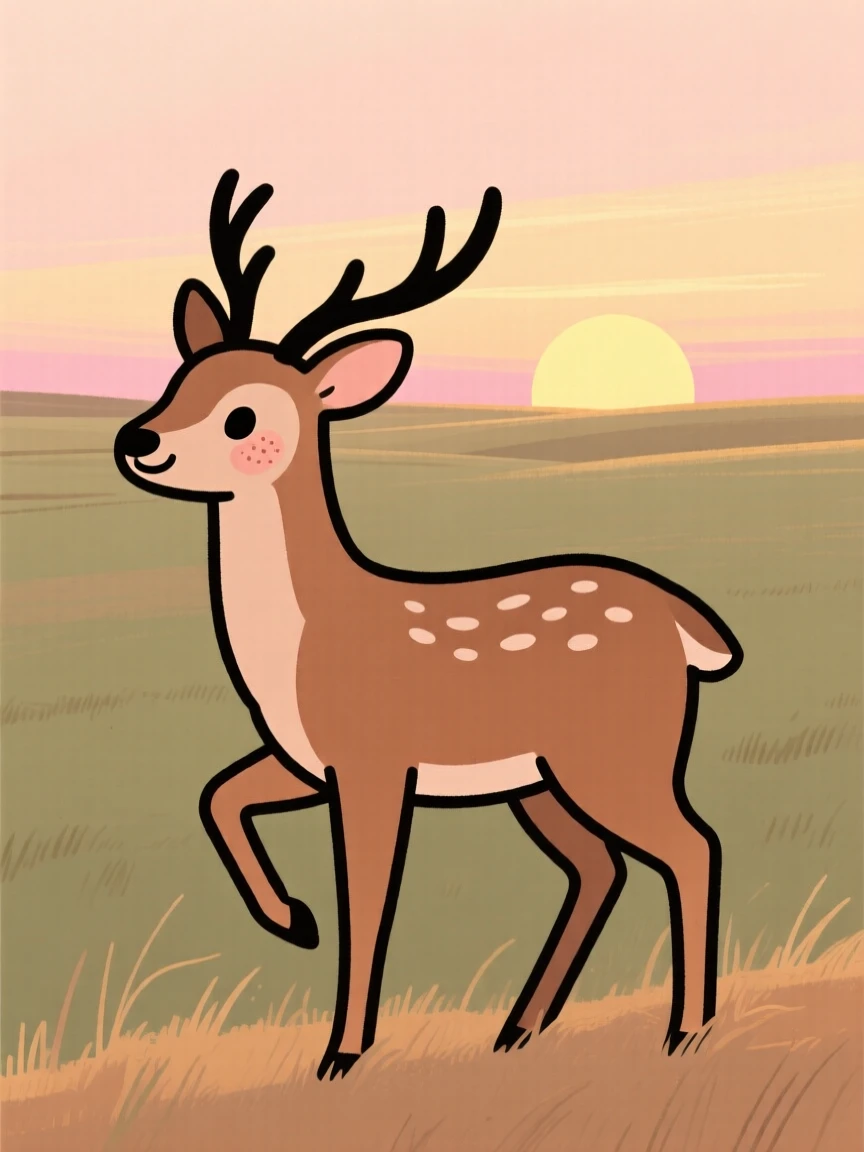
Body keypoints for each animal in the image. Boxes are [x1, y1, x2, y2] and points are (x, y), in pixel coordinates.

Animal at [114, 170, 743, 1080]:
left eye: (243, 416)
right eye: (181, 376)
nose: (138, 440)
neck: (304, 641)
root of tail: (693, 626)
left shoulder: (374, 760)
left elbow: (370, 900)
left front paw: (342, 1053)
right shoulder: (303, 757)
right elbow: (218, 796)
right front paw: (291, 920)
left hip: (618, 753)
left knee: (692, 846)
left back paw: (683, 1032)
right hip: (541, 778)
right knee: (601, 866)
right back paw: (520, 1029)